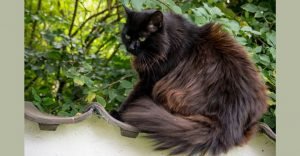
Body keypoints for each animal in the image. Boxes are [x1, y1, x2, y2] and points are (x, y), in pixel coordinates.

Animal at [116, 6, 268, 156]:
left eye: (142, 37)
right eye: (127, 35)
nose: (131, 48)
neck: (170, 39)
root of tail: (230, 120)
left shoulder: (150, 80)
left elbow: (131, 98)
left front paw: (118, 114)